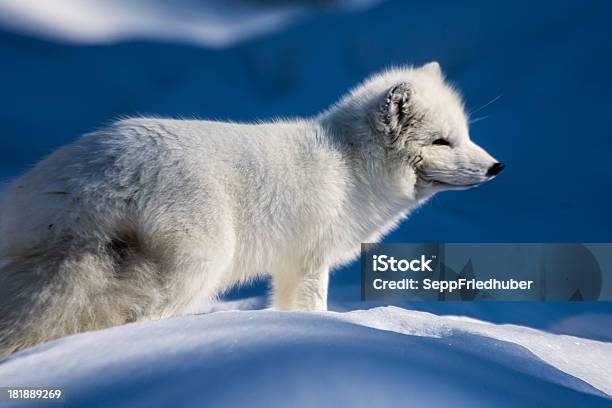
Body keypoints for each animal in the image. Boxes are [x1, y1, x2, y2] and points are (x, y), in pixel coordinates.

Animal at [0, 62, 502, 356]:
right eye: (441, 142)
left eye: (464, 135)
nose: (497, 167)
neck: (350, 165)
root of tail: (92, 178)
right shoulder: (310, 258)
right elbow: (312, 307)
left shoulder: (288, 265)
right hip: (200, 264)